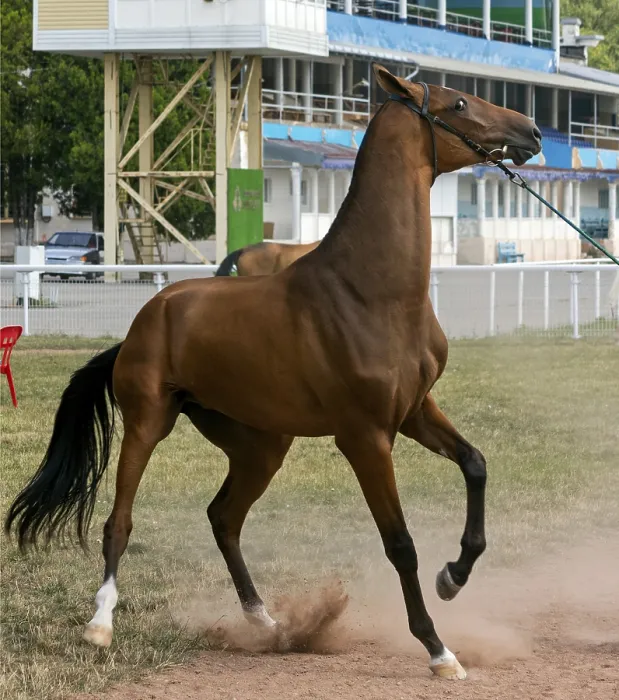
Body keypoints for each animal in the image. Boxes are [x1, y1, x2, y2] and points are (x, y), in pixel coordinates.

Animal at [5, 64, 541, 682]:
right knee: (121, 521)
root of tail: (143, 323)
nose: (531, 132)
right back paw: (100, 625)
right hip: (148, 425)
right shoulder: (365, 437)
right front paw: (438, 649)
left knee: (223, 517)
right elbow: (400, 543)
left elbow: (475, 465)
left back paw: (267, 622)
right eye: (458, 104)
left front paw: (453, 577)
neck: (371, 290)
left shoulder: (415, 411)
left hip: (261, 445)